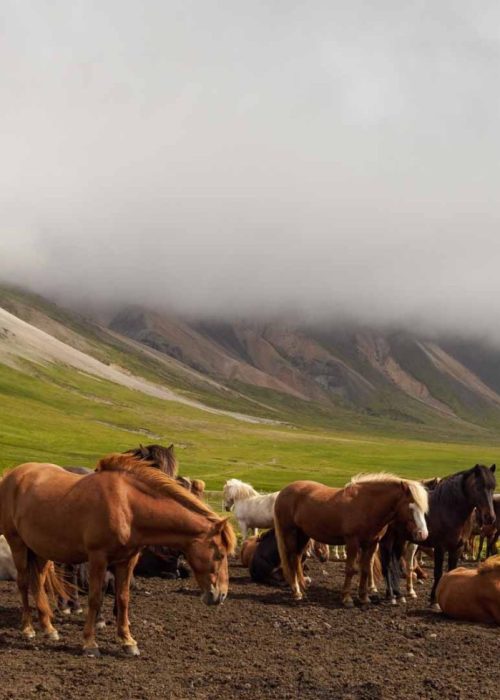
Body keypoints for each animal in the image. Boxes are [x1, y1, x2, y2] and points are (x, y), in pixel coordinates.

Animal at [0, 454, 236, 656]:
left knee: (38, 583)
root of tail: (12, 475)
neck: (127, 505)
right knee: (23, 583)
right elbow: (95, 598)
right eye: (219, 554)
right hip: (18, 544)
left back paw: (49, 628)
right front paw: (90, 643)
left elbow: (123, 598)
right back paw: (28, 629)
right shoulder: (98, 558)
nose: (221, 595)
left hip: (40, 550)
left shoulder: (126, 561)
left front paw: (127, 641)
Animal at [274, 476, 430, 608]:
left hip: (303, 535)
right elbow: (350, 570)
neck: (367, 505)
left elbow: (365, 569)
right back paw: (296, 591)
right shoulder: (352, 542)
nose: (423, 534)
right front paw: (347, 599)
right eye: (411, 507)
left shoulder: (371, 544)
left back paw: (301, 589)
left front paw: (364, 597)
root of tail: (284, 491)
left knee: (297, 558)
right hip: (290, 532)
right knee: (292, 558)